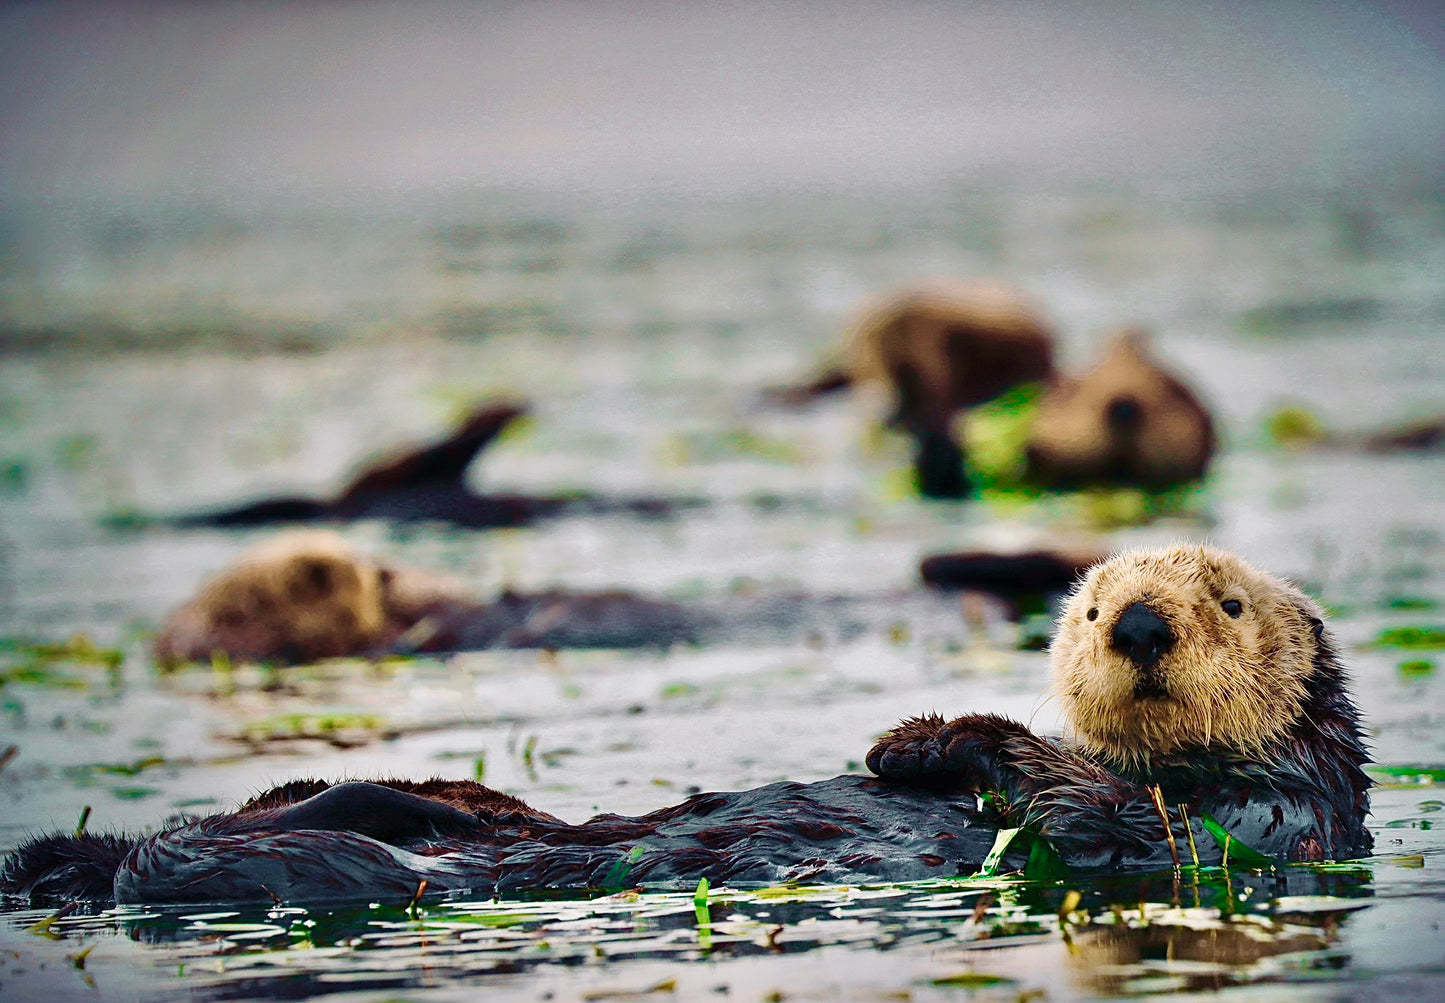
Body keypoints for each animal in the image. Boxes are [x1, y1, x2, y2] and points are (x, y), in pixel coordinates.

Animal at [4, 546, 1370, 906]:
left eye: (1225, 600)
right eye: (1087, 607)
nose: (1134, 623)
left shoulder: (1265, 813)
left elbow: (1106, 815)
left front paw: (924, 734)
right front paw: (896, 743)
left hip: (319, 864)